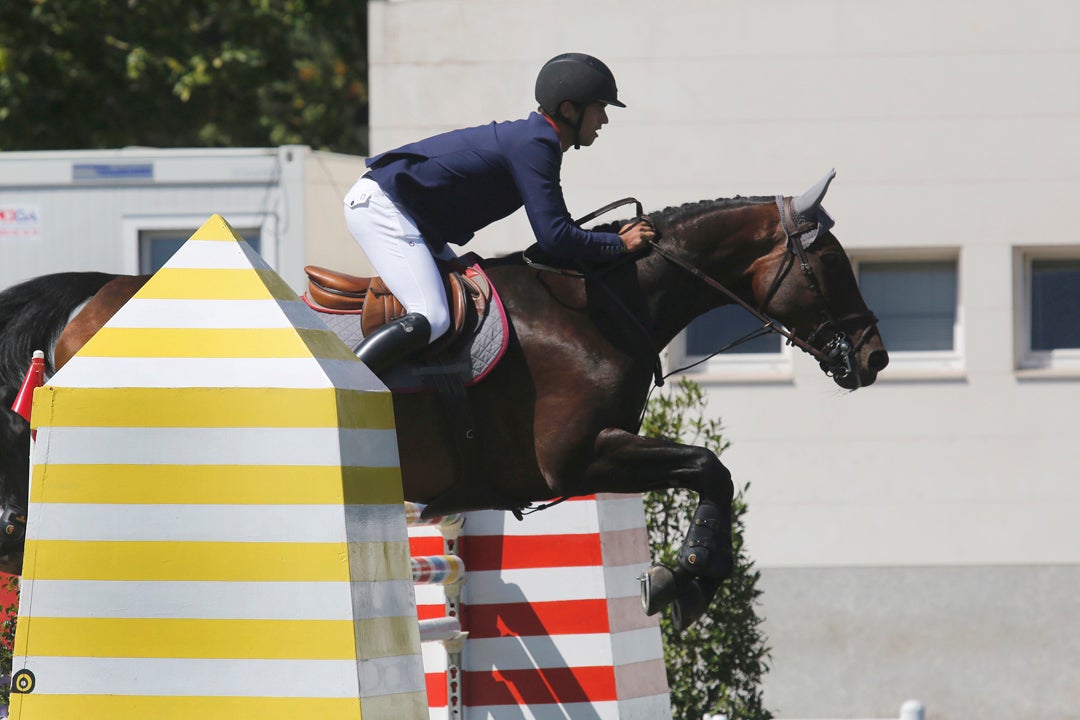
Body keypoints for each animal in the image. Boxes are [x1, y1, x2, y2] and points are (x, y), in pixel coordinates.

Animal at [0, 171, 885, 626]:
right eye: (829, 265)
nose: (874, 357)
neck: (598, 305)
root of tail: (93, 295)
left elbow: (710, 473)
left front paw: (689, 578)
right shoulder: (581, 457)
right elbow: (709, 470)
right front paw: (686, 580)